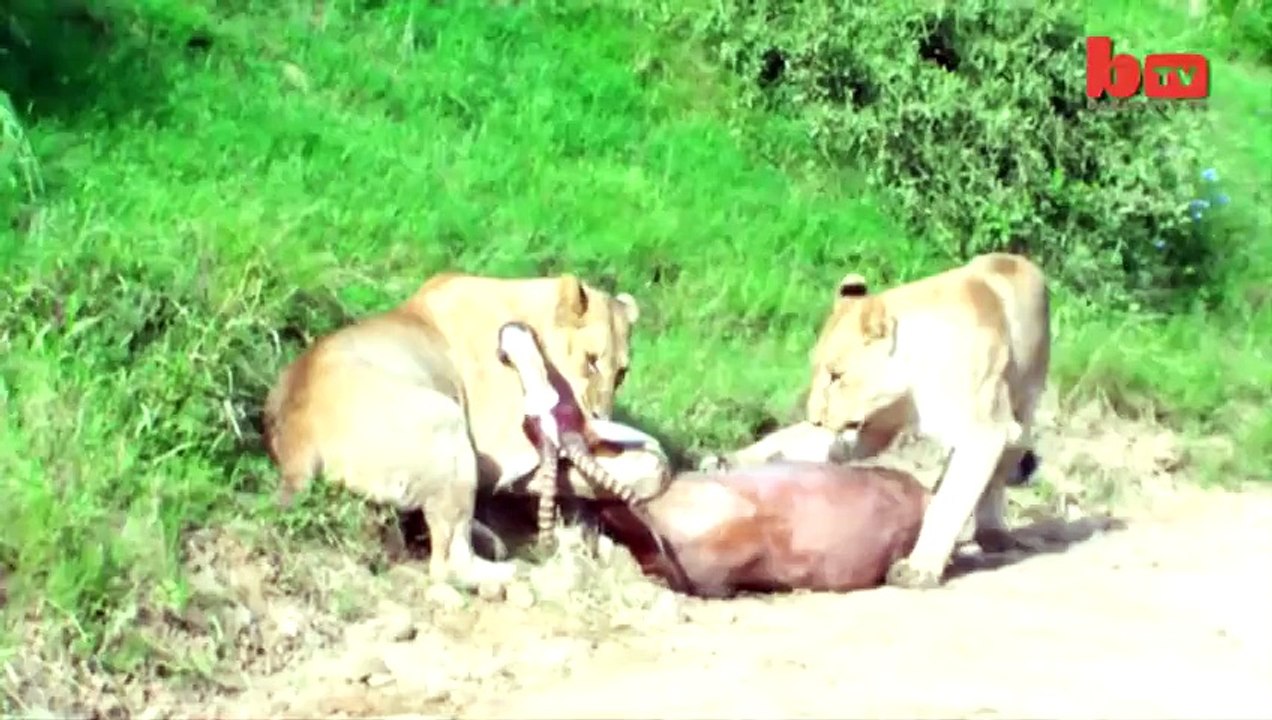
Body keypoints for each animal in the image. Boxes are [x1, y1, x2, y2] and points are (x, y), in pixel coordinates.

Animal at [262, 272, 667, 591]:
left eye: (622, 373)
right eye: (591, 361)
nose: (600, 414)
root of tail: (296, 441)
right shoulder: (501, 456)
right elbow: (652, 470)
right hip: (448, 422)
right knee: (449, 563)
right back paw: (511, 570)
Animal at [804, 252, 1051, 589]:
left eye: (836, 375)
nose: (813, 419)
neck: (914, 378)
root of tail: (1018, 259)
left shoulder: (986, 431)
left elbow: (949, 503)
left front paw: (919, 569)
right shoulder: (880, 427)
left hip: (1022, 415)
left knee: (995, 477)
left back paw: (992, 533)